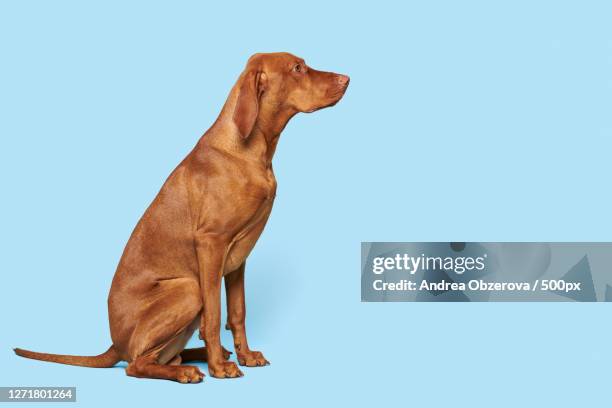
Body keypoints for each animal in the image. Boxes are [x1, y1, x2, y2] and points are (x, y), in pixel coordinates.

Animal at [14, 51, 350, 382]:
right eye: (297, 68)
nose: (346, 79)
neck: (251, 150)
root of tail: (114, 345)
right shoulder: (211, 244)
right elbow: (214, 315)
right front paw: (219, 368)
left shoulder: (238, 257)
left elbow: (237, 312)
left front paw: (245, 355)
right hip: (188, 288)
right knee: (137, 364)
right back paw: (191, 369)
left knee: (163, 356)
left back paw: (205, 357)